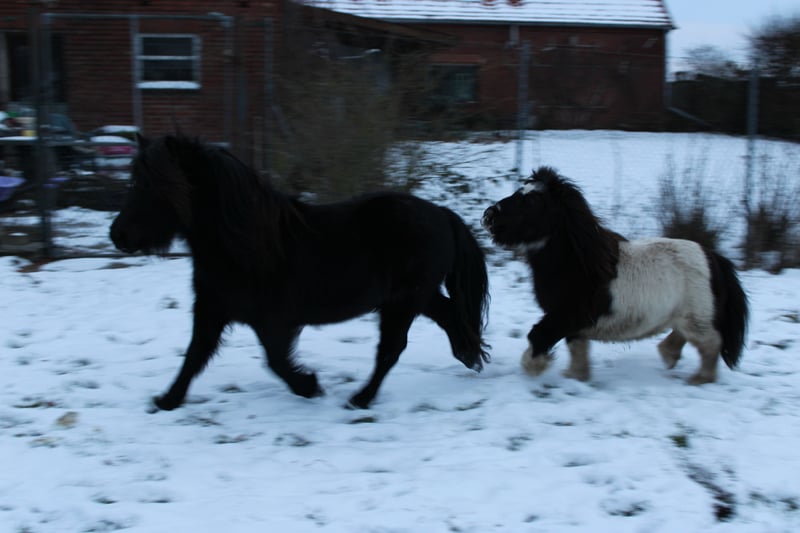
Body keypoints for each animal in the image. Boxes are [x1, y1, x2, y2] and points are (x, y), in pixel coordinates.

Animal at [109, 134, 490, 410]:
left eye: (154, 185)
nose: (118, 235)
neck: (244, 243)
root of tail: (442, 214)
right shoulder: (211, 310)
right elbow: (194, 356)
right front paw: (167, 400)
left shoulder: (273, 321)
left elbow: (275, 361)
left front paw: (310, 386)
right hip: (415, 297)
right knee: (449, 315)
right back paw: (468, 355)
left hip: (403, 301)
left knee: (392, 348)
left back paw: (360, 399)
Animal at [482, 166, 748, 385]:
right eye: (519, 192)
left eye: (533, 201)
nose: (489, 215)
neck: (578, 264)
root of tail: (714, 258)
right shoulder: (573, 323)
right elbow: (577, 348)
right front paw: (576, 377)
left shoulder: (566, 315)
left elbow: (538, 336)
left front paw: (533, 366)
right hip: (685, 316)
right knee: (684, 336)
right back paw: (669, 355)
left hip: (697, 317)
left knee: (711, 344)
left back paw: (700, 378)